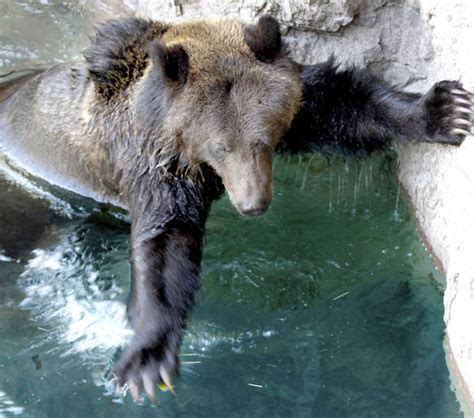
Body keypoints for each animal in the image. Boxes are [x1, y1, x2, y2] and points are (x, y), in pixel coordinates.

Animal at [0, 14, 472, 404]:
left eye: (262, 139)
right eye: (220, 145)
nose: (252, 203)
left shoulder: (301, 108)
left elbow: (346, 102)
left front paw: (440, 110)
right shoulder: (155, 167)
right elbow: (165, 245)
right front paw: (147, 358)